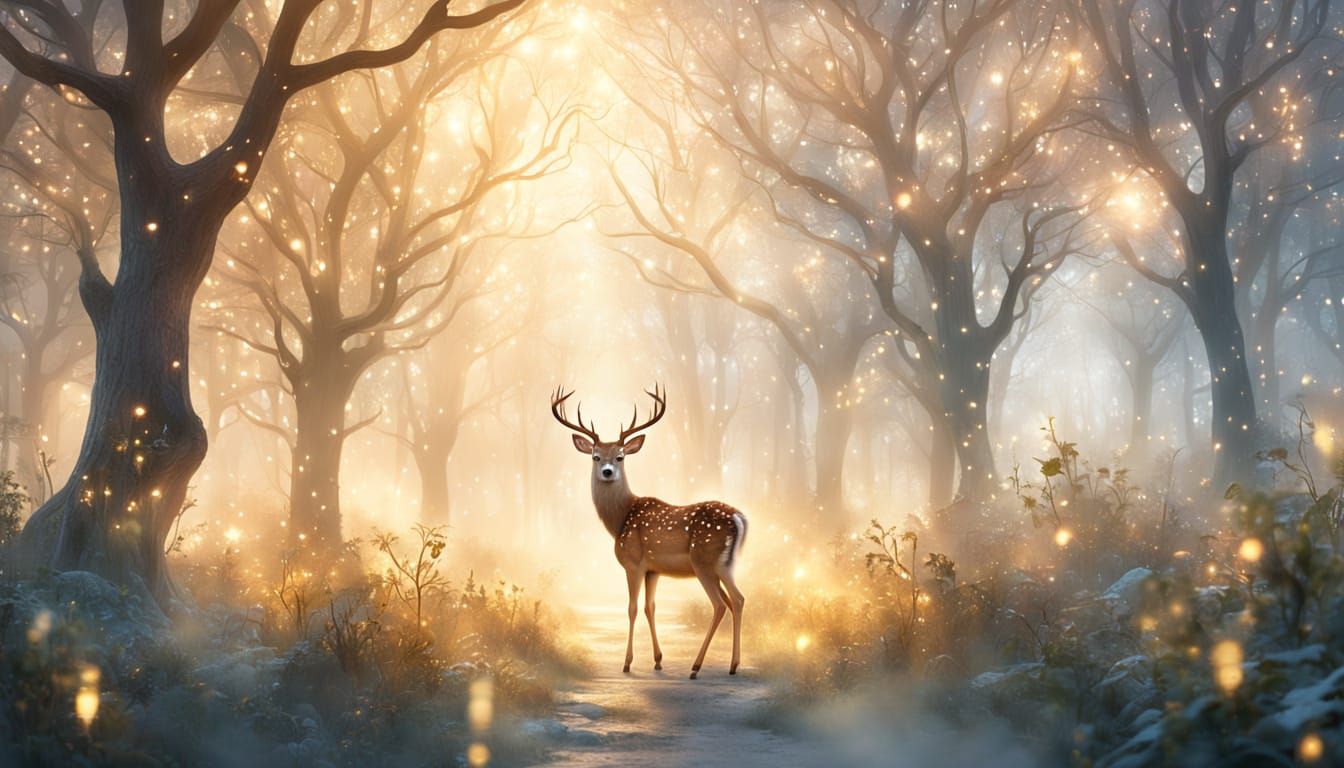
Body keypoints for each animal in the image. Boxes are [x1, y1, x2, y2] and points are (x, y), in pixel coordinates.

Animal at [551, 384, 747, 679]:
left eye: (620, 456)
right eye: (596, 456)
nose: (607, 471)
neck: (620, 519)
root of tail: (738, 517)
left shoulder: (633, 563)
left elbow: (632, 608)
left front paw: (627, 663)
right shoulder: (653, 569)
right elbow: (649, 607)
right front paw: (657, 660)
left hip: (704, 561)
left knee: (721, 604)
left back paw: (696, 667)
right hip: (725, 565)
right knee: (738, 599)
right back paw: (733, 666)